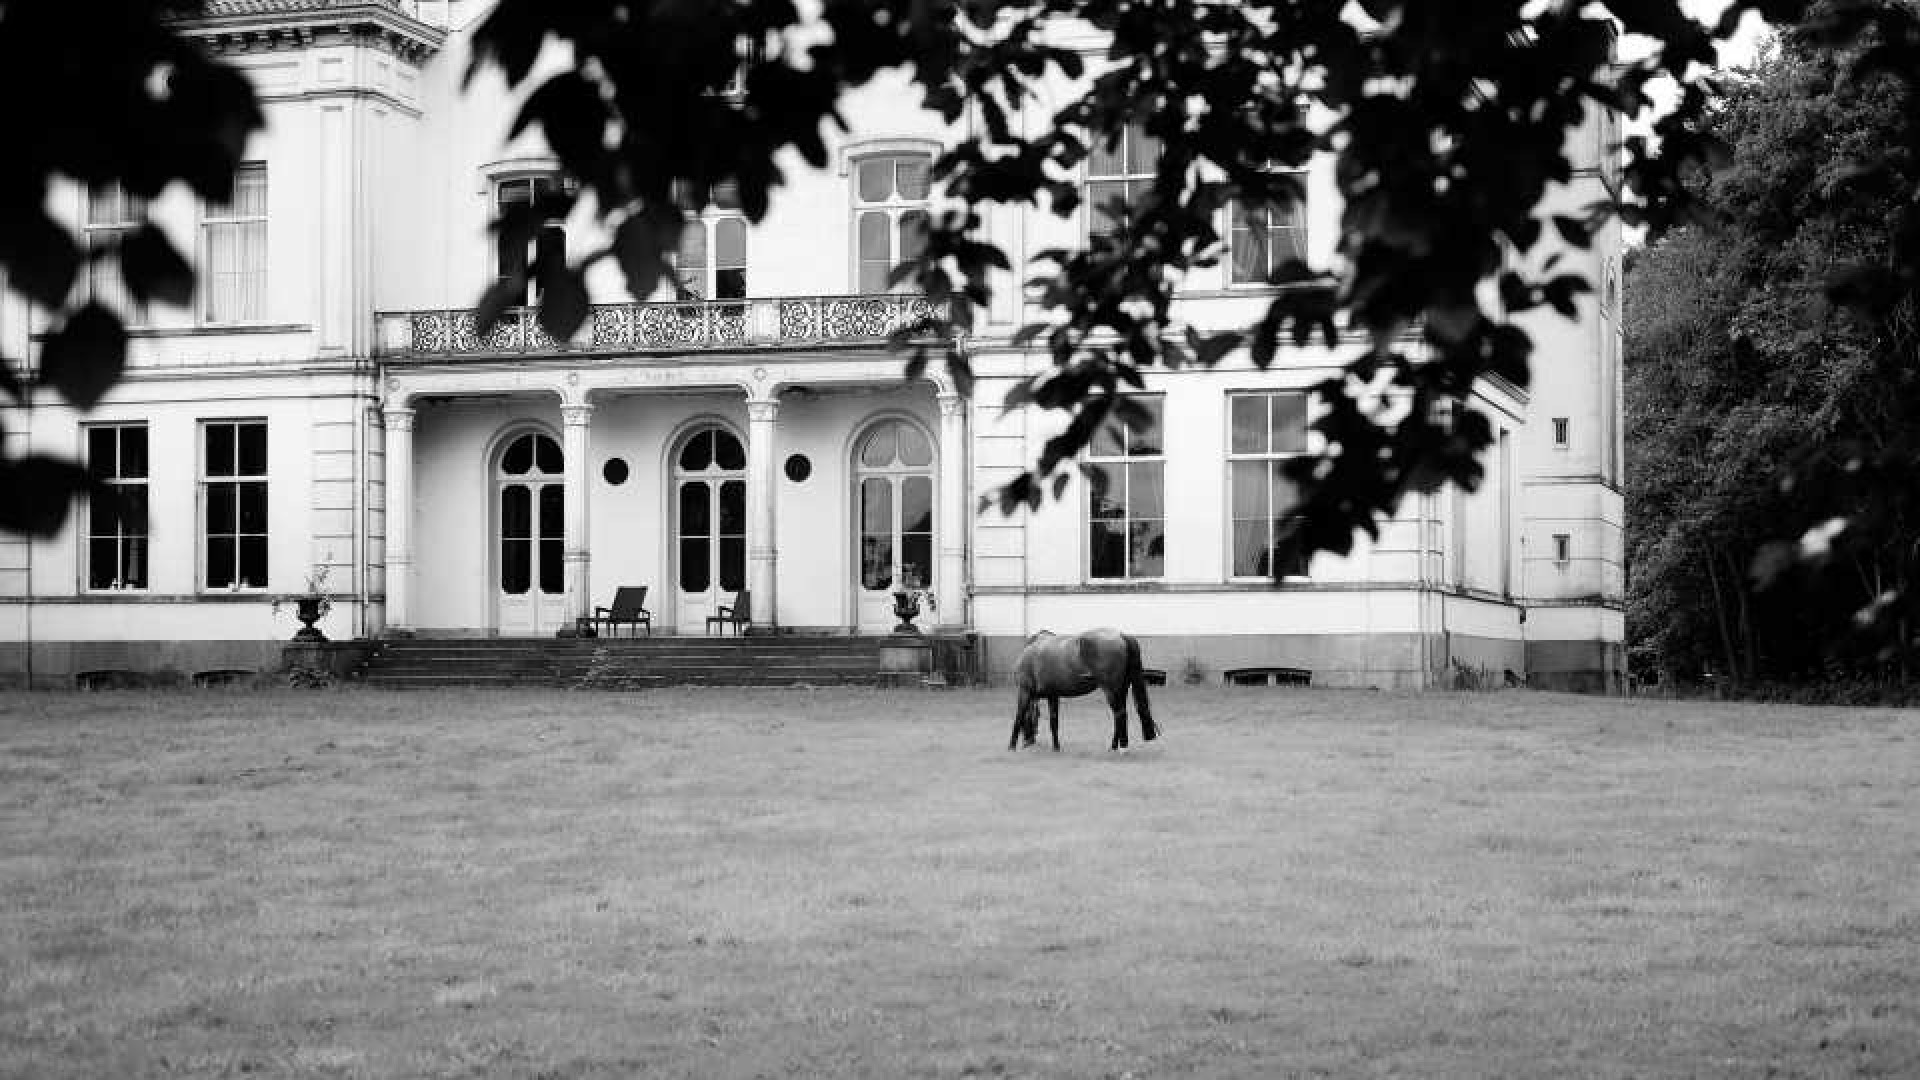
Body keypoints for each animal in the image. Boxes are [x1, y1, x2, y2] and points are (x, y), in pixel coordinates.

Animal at [1013, 626, 1159, 753]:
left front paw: (1011, 747)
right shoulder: (1053, 695)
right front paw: (1056, 748)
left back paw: (1122, 748)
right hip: (1121, 690)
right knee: (1120, 715)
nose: (1028, 742)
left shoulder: (1025, 691)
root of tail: (1121, 635)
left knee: (1120, 714)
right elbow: (1054, 722)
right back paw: (1114, 747)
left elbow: (1019, 716)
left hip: (1111, 691)